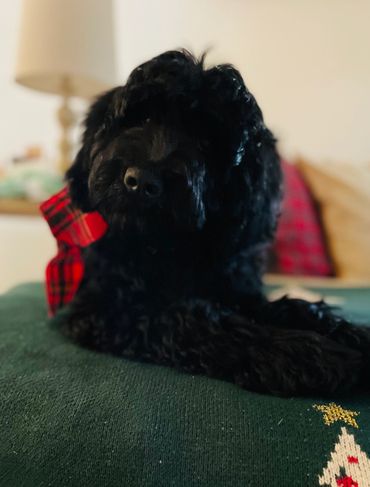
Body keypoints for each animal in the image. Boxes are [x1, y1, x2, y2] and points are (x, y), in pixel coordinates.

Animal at [64, 51, 370, 398]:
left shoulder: (236, 290)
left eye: (206, 141)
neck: (165, 247)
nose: (141, 181)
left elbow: (287, 308)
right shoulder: (110, 308)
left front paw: (350, 334)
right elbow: (194, 319)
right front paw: (302, 353)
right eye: (141, 118)